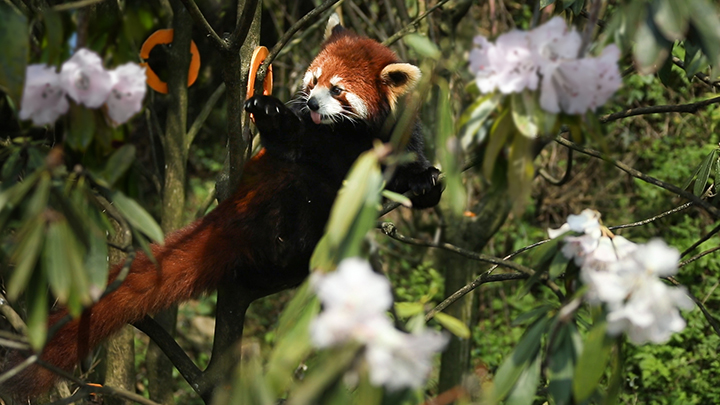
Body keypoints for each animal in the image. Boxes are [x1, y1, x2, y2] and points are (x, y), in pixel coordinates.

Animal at [2, 15, 442, 398]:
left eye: (337, 90)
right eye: (314, 81)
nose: (313, 104)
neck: (347, 136)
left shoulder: (396, 136)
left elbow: (404, 168)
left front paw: (425, 185)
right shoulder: (315, 143)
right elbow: (297, 144)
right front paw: (275, 115)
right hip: (275, 196)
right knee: (299, 188)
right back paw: (294, 255)